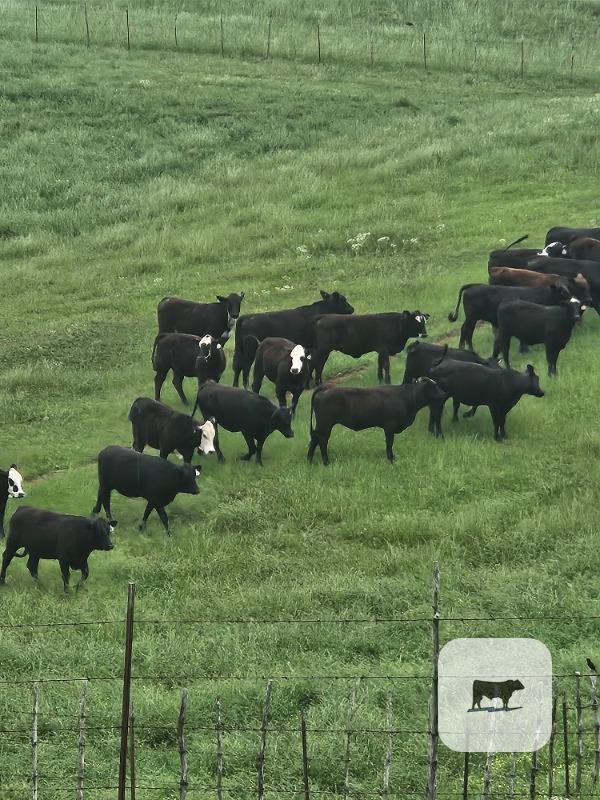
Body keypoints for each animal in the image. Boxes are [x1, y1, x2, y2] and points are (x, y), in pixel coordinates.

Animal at [307, 378, 446, 465]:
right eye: (434, 386)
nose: (444, 394)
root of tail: (326, 387)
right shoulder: (390, 427)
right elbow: (389, 444)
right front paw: (391, 460)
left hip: (321, 425)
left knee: (314, 439)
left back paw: (309, 461)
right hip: (325, 425)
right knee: (322, 441)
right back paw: (326, 462)